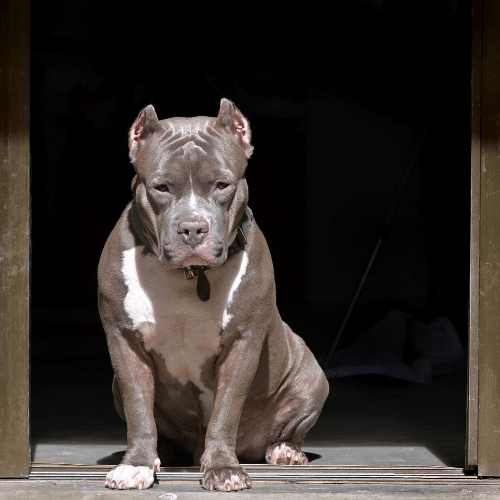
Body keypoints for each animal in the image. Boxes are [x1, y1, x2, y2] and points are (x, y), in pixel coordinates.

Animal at [98, 98, 330, 492]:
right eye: (161, 187)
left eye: (222, 184)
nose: (192, 228)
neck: (190, 276)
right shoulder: (123, 340)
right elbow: (138, 409)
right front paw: (137, 464)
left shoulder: (243, 342)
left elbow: (226, 410)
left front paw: (224, 468)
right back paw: (164, 453)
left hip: (312, 376)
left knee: (291, 427)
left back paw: (286, 450)